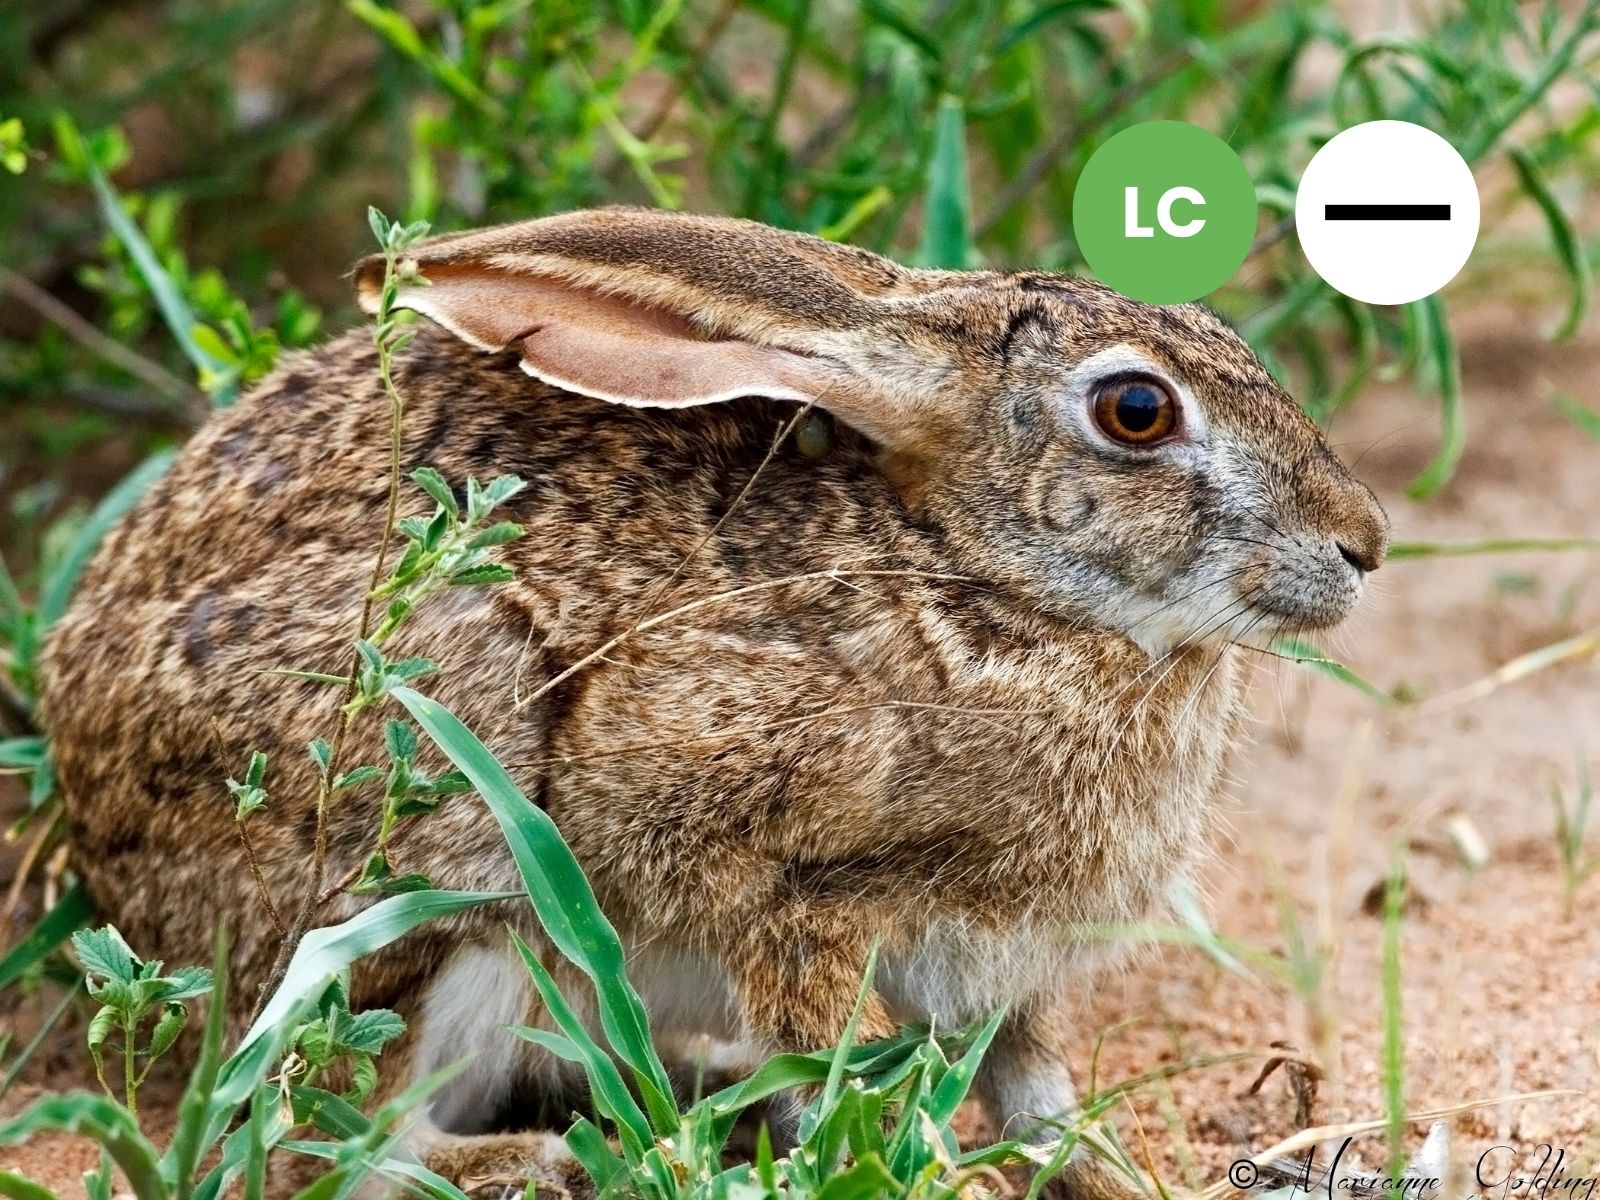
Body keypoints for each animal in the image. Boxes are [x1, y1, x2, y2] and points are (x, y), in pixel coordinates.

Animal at [40, 207, 1388, 1198]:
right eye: (1136, 411)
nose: (1363, 544)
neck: (988, 583)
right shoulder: (787, 891)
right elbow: (833, 1062)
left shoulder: (1013, 970)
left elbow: (1035, 1088)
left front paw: (1103, 1170)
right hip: (439, 818)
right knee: (340, 1124)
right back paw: (532, 1158)